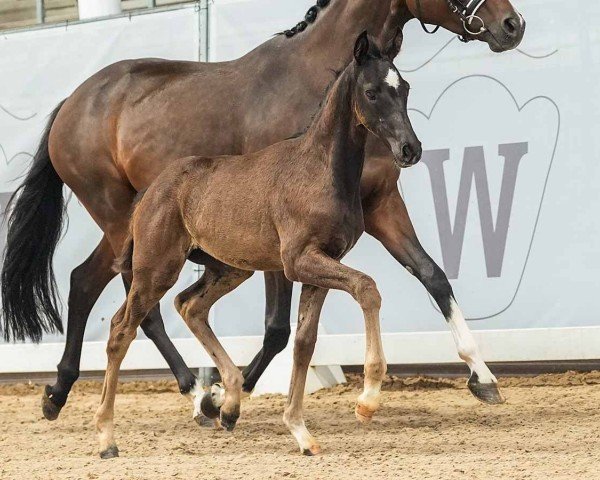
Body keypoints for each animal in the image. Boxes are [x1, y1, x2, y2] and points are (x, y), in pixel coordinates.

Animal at [95, 31, 422, 458]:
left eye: (405, 88)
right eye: (371, 91)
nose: (410, 149)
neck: (320, 170)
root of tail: (149, 193)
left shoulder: (322, 264)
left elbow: (304, 343)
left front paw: (300, 432)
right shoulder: (299, 261)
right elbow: (367, 288)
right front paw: (366, 401)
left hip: (230, 268)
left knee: (190, 306)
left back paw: (229, 404)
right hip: (155, 270)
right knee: (122, 329)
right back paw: (106, 438)